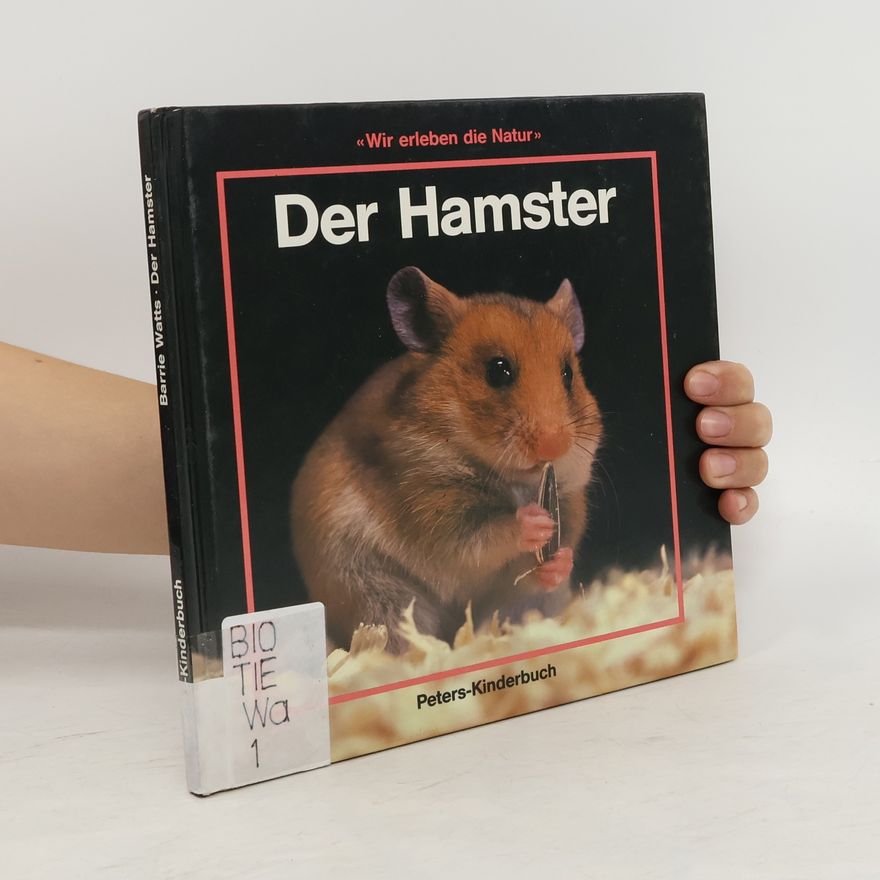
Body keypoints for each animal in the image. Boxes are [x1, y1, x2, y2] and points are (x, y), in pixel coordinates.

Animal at [291, 266, 603, 652]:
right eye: (498, 371)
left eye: (568, 374)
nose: (553, 446)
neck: (513, 480)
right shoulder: (436, 512)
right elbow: (486, 535)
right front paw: (537, 521)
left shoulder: (569, 503)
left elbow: (536, 567)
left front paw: (558, 560)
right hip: (375, 592)